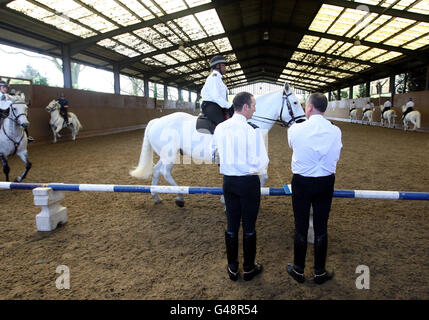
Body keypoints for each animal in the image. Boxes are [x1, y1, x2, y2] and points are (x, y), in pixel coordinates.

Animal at [130, 82, 304, 208]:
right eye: (295, 102)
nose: (302, 122)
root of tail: (157, 121)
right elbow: (259, 176)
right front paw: (227, 201)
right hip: (170, 155)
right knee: (165, 172)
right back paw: (179, 197)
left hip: (167, 155)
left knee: (156, 170)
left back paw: (156, 196)